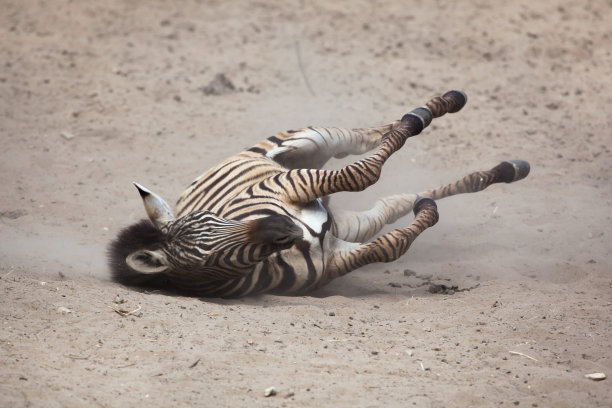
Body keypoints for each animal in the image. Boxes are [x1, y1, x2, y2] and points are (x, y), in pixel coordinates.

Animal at [107, 91, 528, 298]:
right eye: (207, 257)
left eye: (215, 218)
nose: (283, 226)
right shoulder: (334, 258)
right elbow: (388, 240)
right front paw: (427, 213)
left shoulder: (290, 184)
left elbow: (363, 171)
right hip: (348, 220)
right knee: (394, 202)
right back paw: (498, 173)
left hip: (307, 143)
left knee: (366, 137)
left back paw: (437, 107)